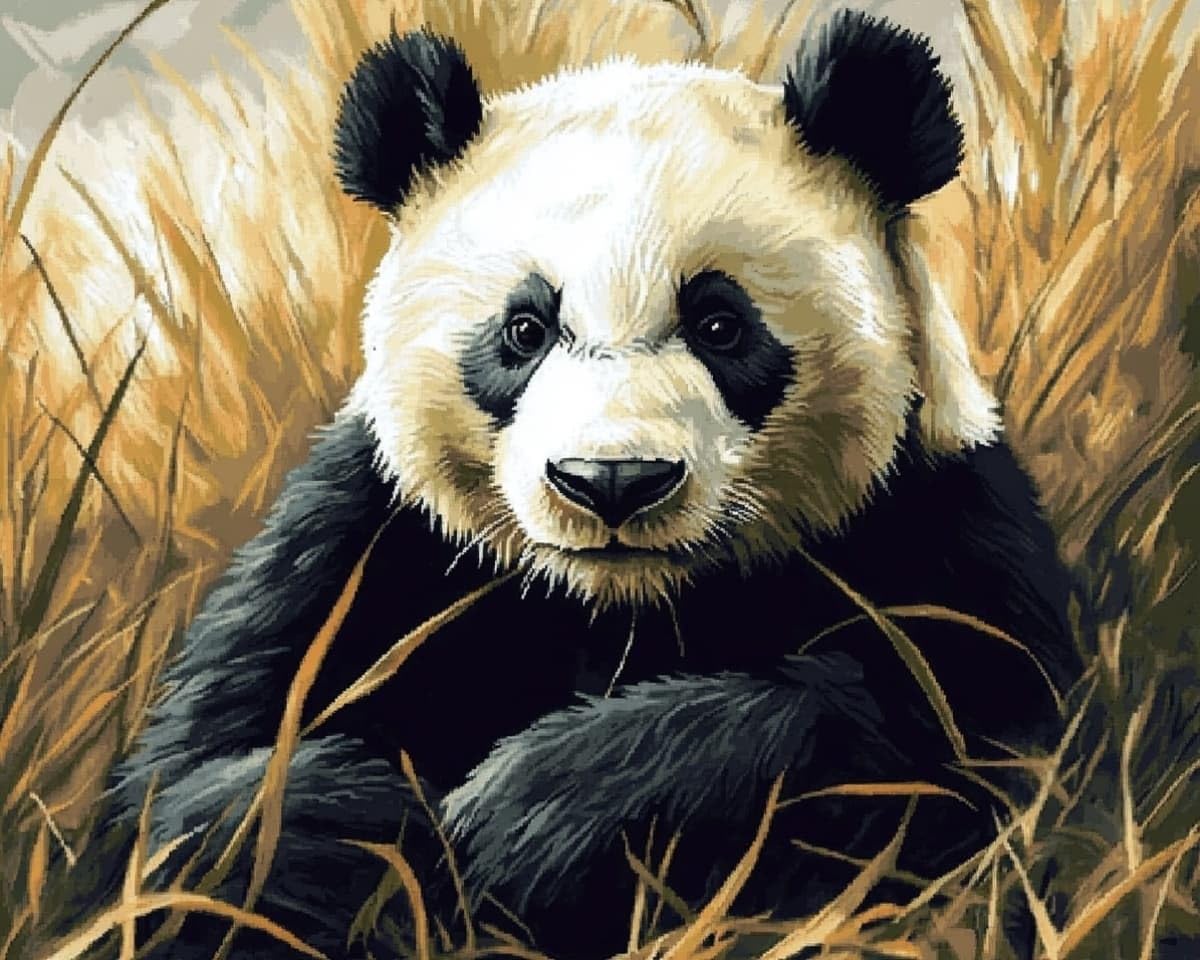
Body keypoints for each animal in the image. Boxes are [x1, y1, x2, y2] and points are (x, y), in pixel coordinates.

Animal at [73, 10, 1080, 960]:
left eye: (720, 324)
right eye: (523, 330)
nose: (613, 481)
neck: (622, 603)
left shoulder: (937, 524)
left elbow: (962, 754)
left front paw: (536, 816)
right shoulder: (361, 547)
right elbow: (183, 789)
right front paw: (369, 834)